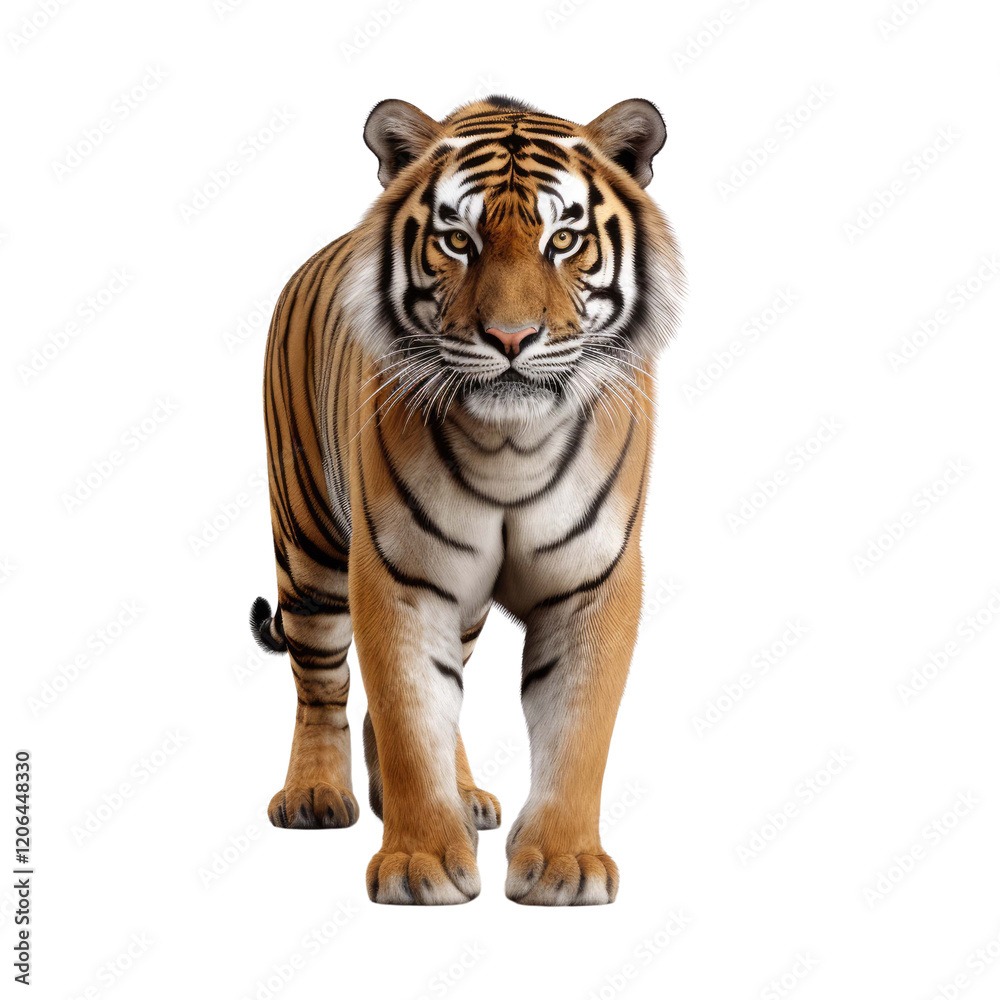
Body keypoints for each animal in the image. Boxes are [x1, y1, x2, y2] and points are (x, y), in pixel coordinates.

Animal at [249, 94, 684, 906]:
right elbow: (407, 712)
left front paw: (565, 865)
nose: (511, 337)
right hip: (309, 548)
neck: (511, 445)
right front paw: (419, 862)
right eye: (457, 240)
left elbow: (577, 728)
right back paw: (315, 797)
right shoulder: (398, 574)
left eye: (564, 239)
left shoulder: (595, 579)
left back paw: (466, 797)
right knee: (321, 683)